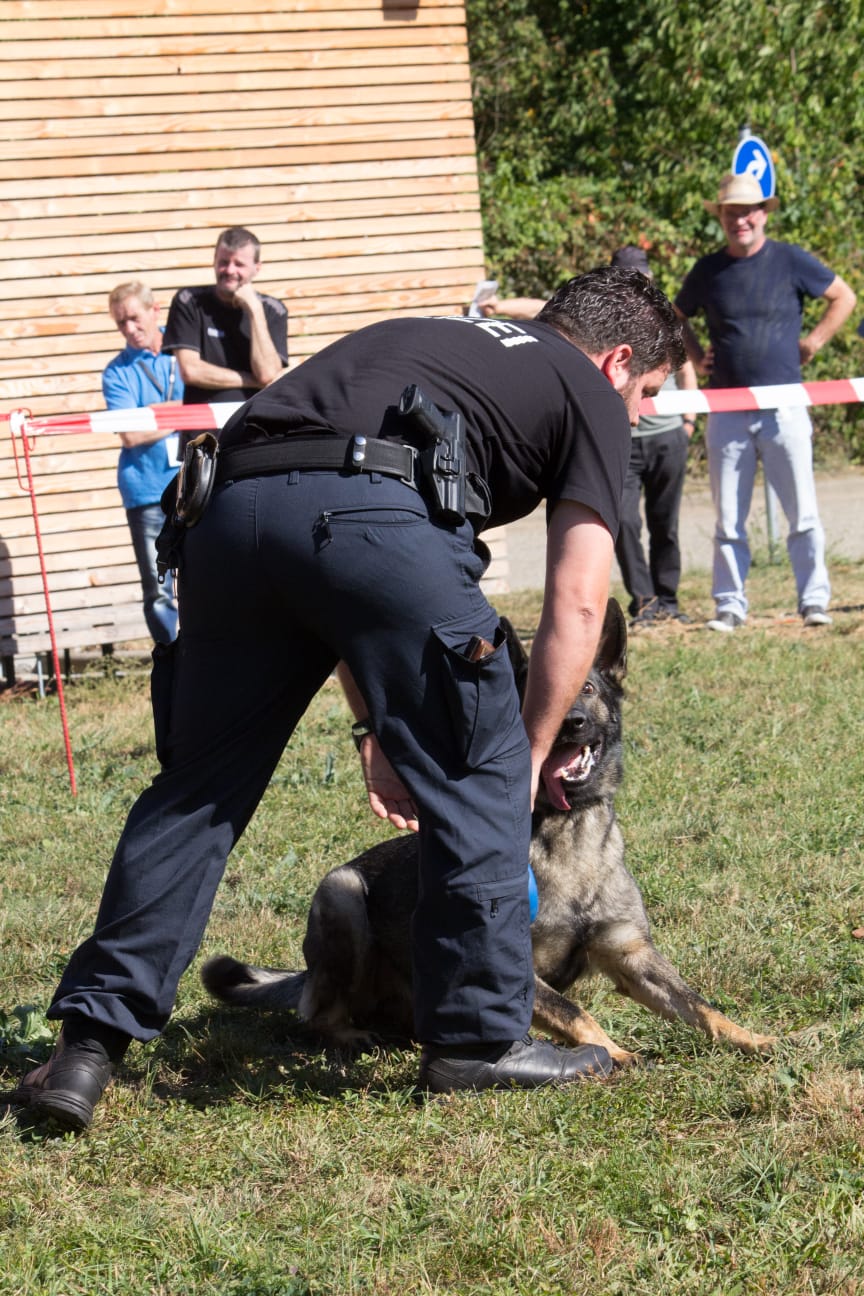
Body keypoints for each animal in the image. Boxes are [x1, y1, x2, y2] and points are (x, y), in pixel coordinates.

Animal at [204, 601, 777, 1067]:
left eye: (589, 689)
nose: (570, 722)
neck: (566, 833)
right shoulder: (521, 969)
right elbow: (575, 1011)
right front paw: (613, 1052)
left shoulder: (632, 956)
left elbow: (699, 1004)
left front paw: (750, 1037)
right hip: (341, 894)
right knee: (318, 1015)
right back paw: (351, 1035)